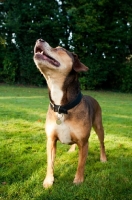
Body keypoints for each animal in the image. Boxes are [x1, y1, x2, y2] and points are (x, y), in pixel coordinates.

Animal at [33, 38, 106, 188]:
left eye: (60, 49)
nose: (39, 39)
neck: (62, 106)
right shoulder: (51, 140)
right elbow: (50, 163)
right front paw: (48, 180)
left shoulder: (84, 142)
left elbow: (81, 164)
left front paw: (78, 180)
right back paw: (72, 150)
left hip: (99, 126)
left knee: (102, 143)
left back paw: (103, 158)